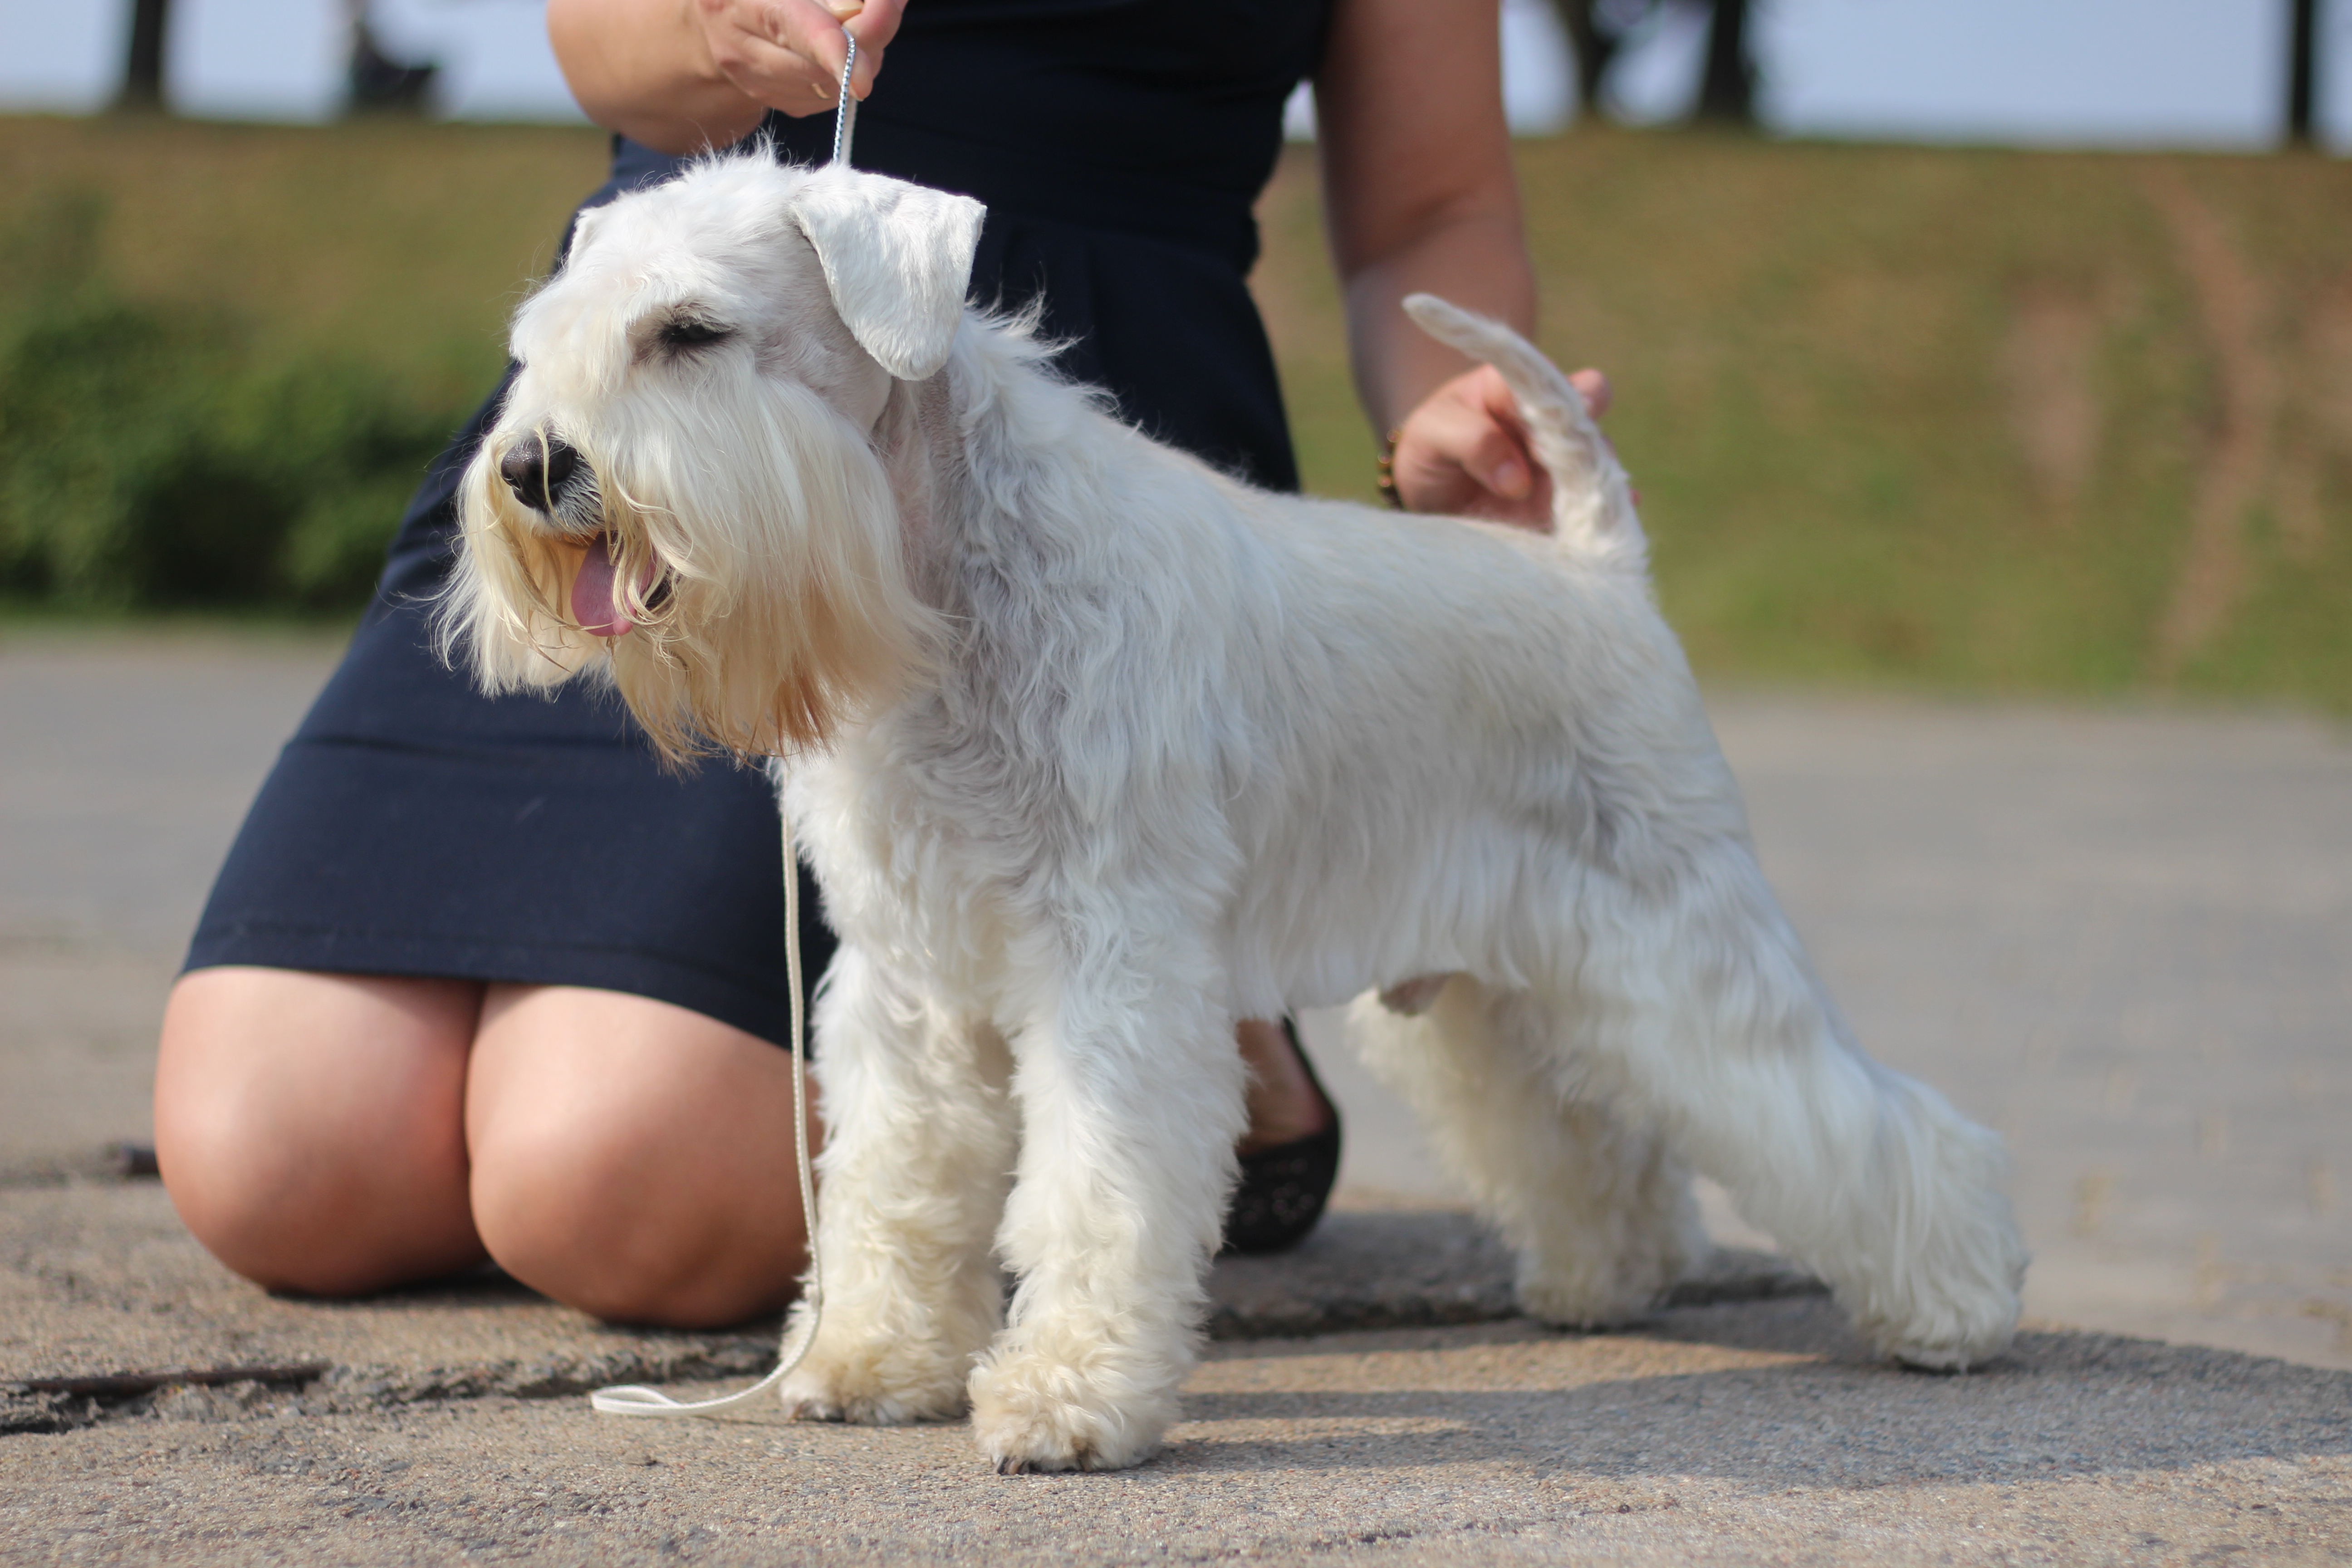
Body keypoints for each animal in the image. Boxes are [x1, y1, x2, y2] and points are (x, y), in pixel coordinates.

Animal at [442, 152, 2023, 1476]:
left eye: (691, 332)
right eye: (543, 338)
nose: (532, 469)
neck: (951, 589)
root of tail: (1596, 571)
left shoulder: (1113, 972)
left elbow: (1092, 1195)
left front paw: (1066, 1400)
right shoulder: (905, 982)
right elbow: (892, 1178)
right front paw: (871, 1360)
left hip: (1681, 940)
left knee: (1852, 1119)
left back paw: (1957, 1307)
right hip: (1502, 986)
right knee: (1586, 1132)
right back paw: (1603, 1278)